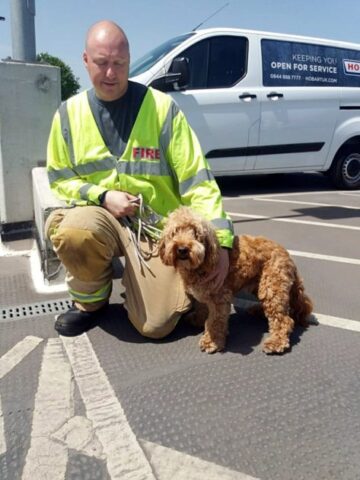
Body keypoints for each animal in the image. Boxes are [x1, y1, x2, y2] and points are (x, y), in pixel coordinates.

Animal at [159, 206, 314, 352]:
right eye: (174, 232)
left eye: (196, 233)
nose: (182, 249)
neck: (202, 264)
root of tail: (287, 254)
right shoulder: (201, 293)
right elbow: (202, 307)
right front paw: (198, 319)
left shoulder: (220, 297)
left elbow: (215, 321)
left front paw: (212, 341)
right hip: (259, 284)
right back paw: (258, 311)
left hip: (272, 285)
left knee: (283, 319)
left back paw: (276, 342)